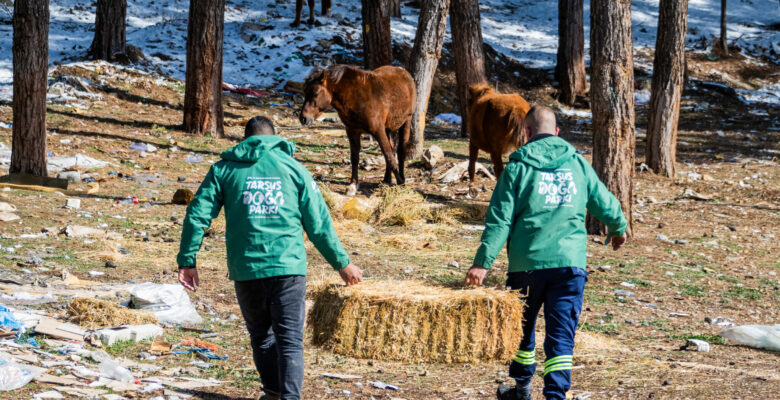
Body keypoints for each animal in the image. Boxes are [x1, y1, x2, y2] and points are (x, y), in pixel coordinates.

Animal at [298, 64, 418, 195]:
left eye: (315, 93)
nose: (303, 118)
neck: (356, 98)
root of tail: (403, 71)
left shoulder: (378, 131)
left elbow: (389, 157)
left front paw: (401, 184)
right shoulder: (352, 131)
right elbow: (355, 158)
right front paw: (353, 185)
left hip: (406, 122)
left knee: (400, 151)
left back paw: (401, 179)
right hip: (387, 128)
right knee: (392, 148)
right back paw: (386, 180)